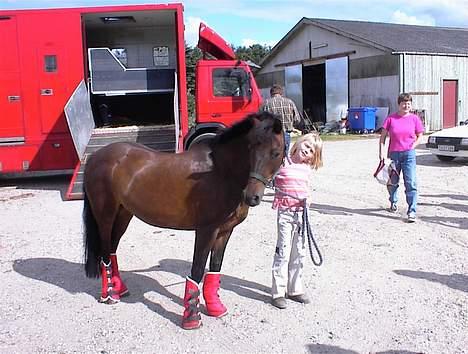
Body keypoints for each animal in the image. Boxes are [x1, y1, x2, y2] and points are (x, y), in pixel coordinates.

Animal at [82, 110, 284, 330]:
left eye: (276, 152)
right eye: (250, 149)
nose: (252, 197)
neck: (219, 172)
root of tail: (95, 157)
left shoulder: (225, 231)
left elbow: (215, 267)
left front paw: (216, 308)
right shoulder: (206, 230)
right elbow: (197, 270)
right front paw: (192, 318)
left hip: (124, 214)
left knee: (112, 249)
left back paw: (120, 290)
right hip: (105, 217)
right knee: (104, 253)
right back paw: (109, 295)